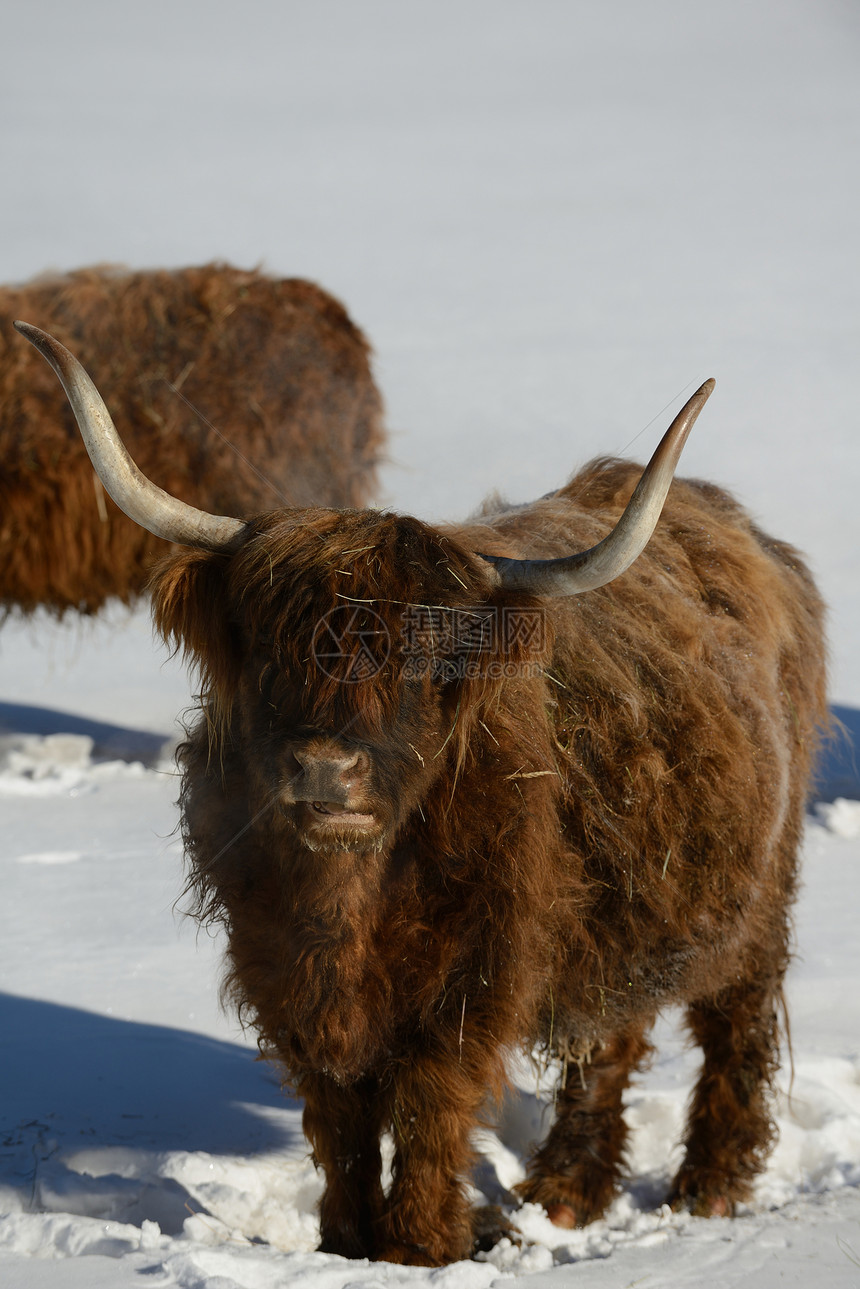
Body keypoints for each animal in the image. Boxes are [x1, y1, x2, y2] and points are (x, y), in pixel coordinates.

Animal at [18, 322, 825, 1268]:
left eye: (427, 659)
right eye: (270, 651)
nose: (325, 770)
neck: (351, 904)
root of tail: (747, 534)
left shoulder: (476, 973)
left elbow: (432, 1102)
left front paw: (420, 1245)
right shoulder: (284, 972)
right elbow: (338, 1115)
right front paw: (344, 1240)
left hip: (757, 892)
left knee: (735, 1022)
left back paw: (709, 1186)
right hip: (613, 909)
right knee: (606, 1036)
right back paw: (565, 1193)